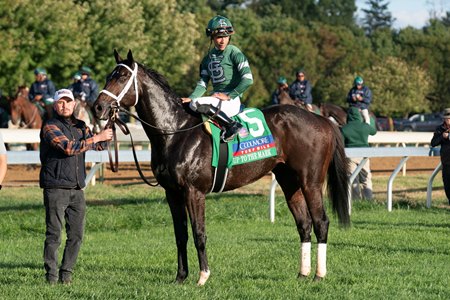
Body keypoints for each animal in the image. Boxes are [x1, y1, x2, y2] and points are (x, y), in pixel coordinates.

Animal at [93, 49, 350, 286]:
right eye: (108, 76)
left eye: (123, 76)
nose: (98, 107)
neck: (175, 131)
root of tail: (321, 120)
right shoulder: (172, 193)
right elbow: (180, 235)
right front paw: (180, 277)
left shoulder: (193, 192)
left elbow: (199, 233)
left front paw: (203, 276)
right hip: (289, 182)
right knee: (304, 224)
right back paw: (302, 273)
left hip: (310, 181)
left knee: (321, 222)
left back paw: (319, 274)